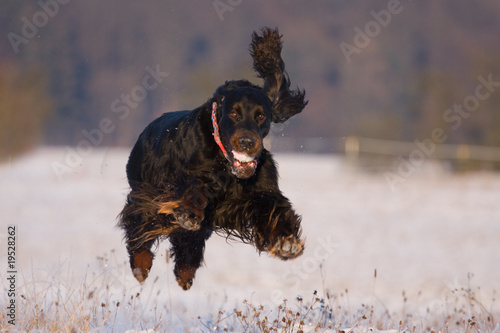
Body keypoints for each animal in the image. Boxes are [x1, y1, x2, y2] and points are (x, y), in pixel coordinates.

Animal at [119, 27, 306, 290]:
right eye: (234, 113)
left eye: (261, 115)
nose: (247, 142)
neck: (227, 166)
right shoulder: (181, 181)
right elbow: (191, 192)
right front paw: (188, 213)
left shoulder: (260, 192)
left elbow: (274, 207)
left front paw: (285, 242)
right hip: (144, 190)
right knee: (140, 222)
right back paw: (141, 265)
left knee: (187, 243)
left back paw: (185, 273)